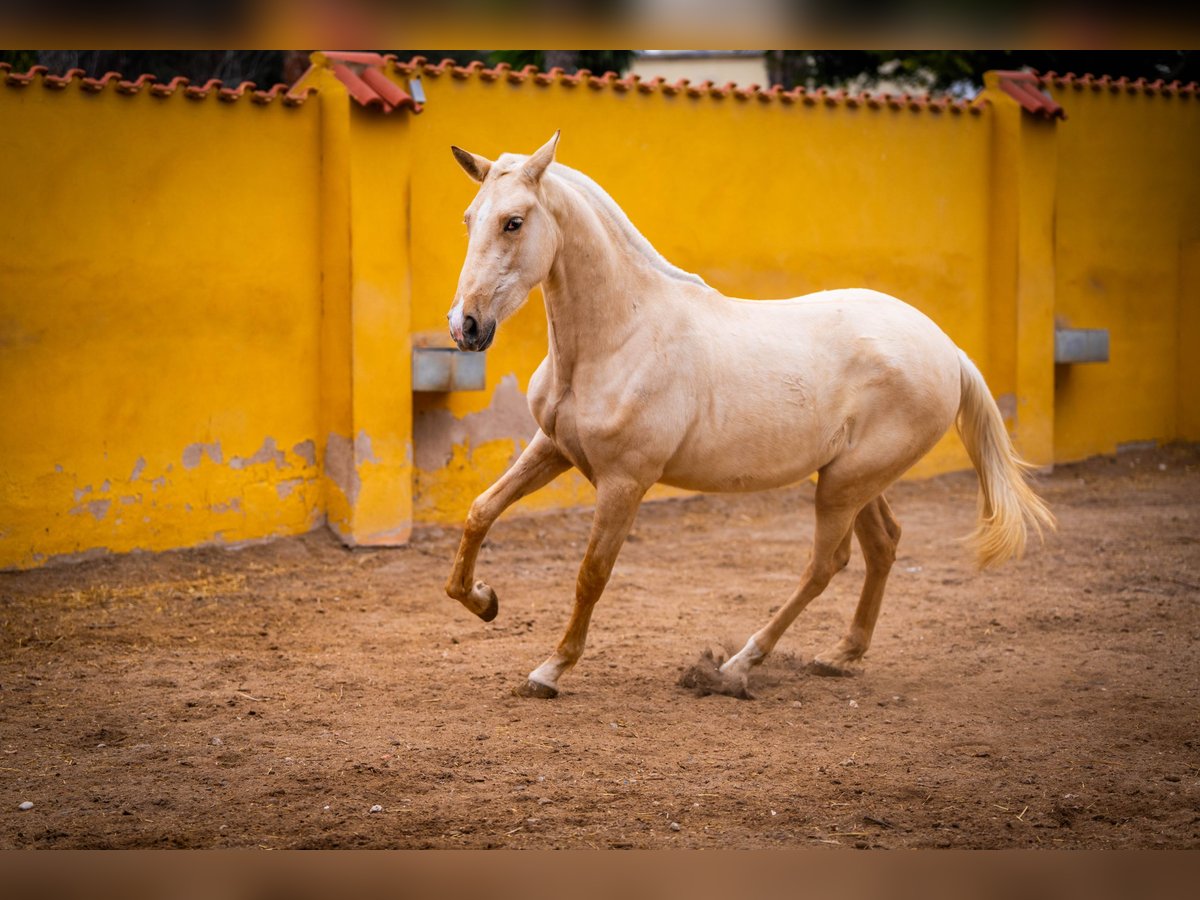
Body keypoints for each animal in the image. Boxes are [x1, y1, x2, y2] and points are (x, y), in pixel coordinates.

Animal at [441, 130, 1051, 700]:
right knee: (883, 545)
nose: (465, 326)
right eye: (468, 219)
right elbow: (479, 511)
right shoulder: (554, 448)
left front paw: (550, 670)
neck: (620, 333)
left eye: (514, 222)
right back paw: (840, 655)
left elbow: (592, 574)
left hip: (844, 486)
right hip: (853, 478)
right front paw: (484, 600)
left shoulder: (624, 481)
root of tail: (949, 349)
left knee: (826, 565)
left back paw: (737, 667)